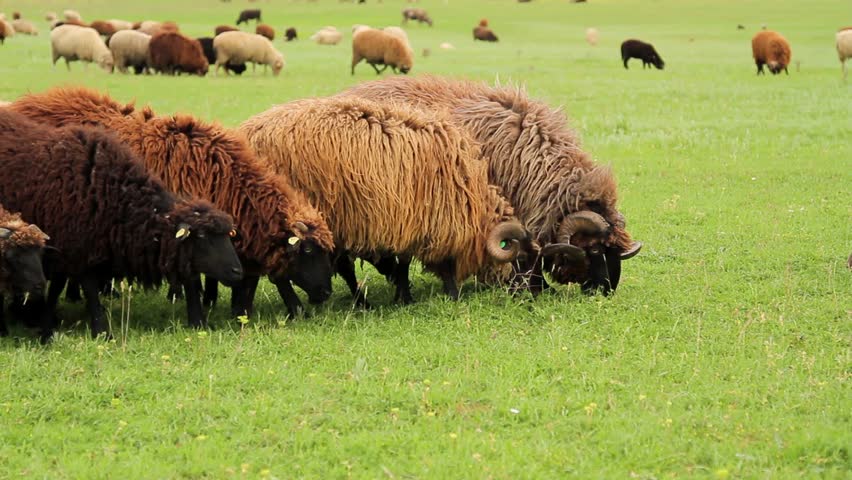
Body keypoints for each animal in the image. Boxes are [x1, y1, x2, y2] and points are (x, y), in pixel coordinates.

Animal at [241, 96, 532, 304]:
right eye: (518, 256)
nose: (521, 292)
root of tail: (248, 132)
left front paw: (403, 292)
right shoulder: (424, 219)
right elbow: (422, 262)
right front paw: (432, 296)